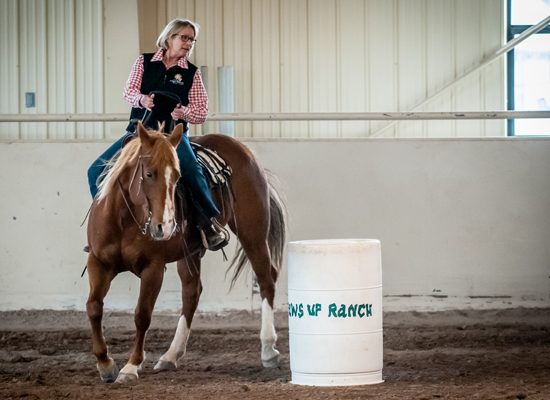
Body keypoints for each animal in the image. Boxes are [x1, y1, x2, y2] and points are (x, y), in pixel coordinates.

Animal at [85, 121, 288, 382]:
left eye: (178, 176)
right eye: (149, 173)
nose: (164, 226)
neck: (124, 220)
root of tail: (244, 152)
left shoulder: (153, 268)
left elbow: (142, 315)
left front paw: (130, 367)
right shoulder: (98, 262)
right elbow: (94, 307)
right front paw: (105, 364)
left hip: (253, 233)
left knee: (266, 280)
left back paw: (268, 350)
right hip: (190, 253)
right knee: (192, 292)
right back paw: (171, 355)